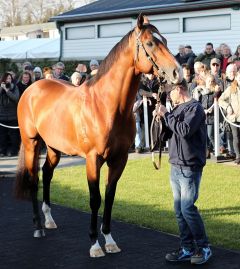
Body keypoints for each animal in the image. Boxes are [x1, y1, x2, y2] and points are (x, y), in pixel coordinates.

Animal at [15, 14, 182, 255]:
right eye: (150, 43)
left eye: (166, 41)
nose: (178, 73)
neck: (106, 106)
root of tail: (32, 88)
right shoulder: (93, 159)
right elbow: (95, 199)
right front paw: (95, 244)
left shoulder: (119, 159)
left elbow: (110, 197)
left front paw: (109, 240)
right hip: (31, 143)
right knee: (33, 179)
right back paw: (38, 227)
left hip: (54, 148)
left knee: (47, 174)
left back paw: (49, 219)